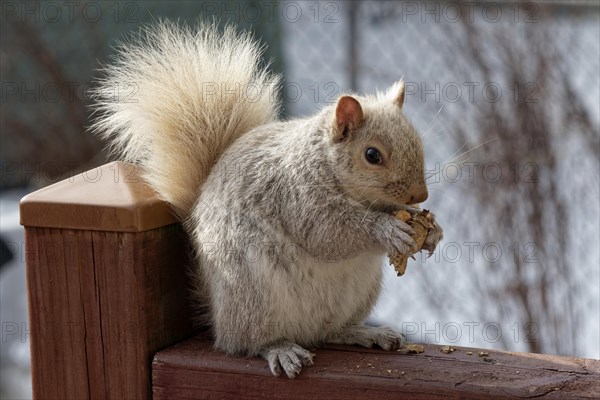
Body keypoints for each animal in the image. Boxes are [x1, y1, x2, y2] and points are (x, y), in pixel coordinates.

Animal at [91, 20, 442, 378]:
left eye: (417, 142)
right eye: (372, 155)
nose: (421, 194)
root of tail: (218, 314)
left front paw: (432, 232)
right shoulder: (296, 195)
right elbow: (328, 233)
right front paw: (387, 230)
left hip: (356, 294)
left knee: (329, 332)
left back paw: (364, 333)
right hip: (253, 294)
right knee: (247, 343)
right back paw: (281, 350)